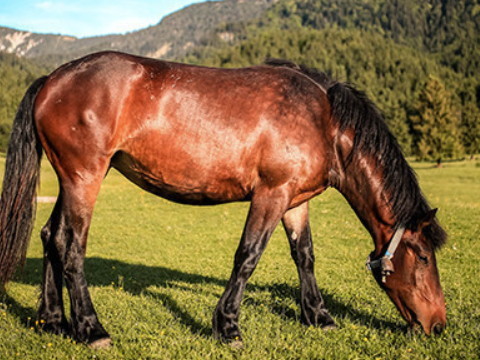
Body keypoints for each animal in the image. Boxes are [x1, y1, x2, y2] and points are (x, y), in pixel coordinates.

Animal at [0, 52, 446, 348]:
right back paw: (92, 329)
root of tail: (54, 78)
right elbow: (248, 256)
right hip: (84, 178)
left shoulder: (295, 201)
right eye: (424, 257)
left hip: (74, 179)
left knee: (50, 236)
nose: (438, 325)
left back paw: (54, 320)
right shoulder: (271, 194)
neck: (323, 119)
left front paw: (319, 316)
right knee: (71, 246)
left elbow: (304, 255)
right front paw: (227, 326)